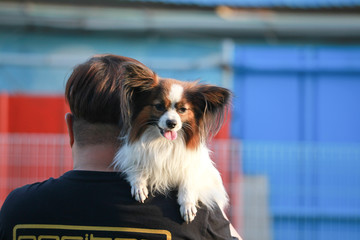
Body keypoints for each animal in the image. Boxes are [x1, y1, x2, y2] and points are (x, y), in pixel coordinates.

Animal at [113, 62, 231, 223]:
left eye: (182, 109)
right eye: (159, 106)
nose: (172, 123)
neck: (163, 142)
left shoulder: (198, 170)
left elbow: (188, 181)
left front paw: (188, 205)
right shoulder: (132, 157)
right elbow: (137, 169)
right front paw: (139, 186)